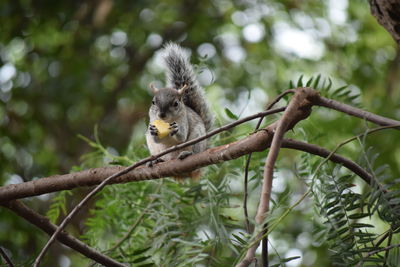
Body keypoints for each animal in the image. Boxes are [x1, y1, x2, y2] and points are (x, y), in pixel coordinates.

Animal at [145, 42, 214, 176]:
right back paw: (157, 160)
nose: (161, 115)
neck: (166, 122)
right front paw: (153, 130)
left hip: (198, 138)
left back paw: (187, 153)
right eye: (153, 102)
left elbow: (182, 137)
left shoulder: (184, 119)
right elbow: (156, 139)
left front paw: (176, 130)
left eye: (176, 103)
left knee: (195, 150)